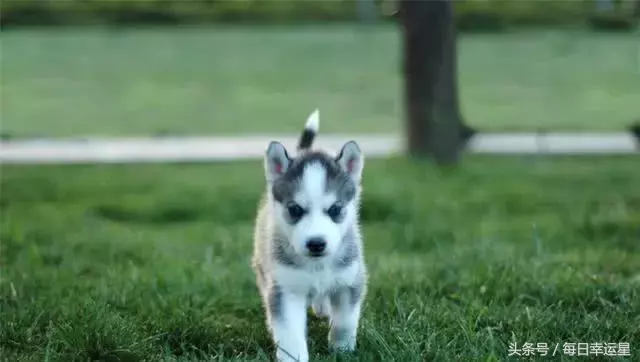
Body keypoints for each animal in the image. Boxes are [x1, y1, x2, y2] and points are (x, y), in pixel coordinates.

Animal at [252, 110, 368, 362]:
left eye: (335, 209)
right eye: (295, 209)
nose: (316, 244)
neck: (317, 266)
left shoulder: (350, 281)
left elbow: (345, 322)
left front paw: (342, 350)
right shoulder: (286, 289)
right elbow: (289, 334)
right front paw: (293, 356)